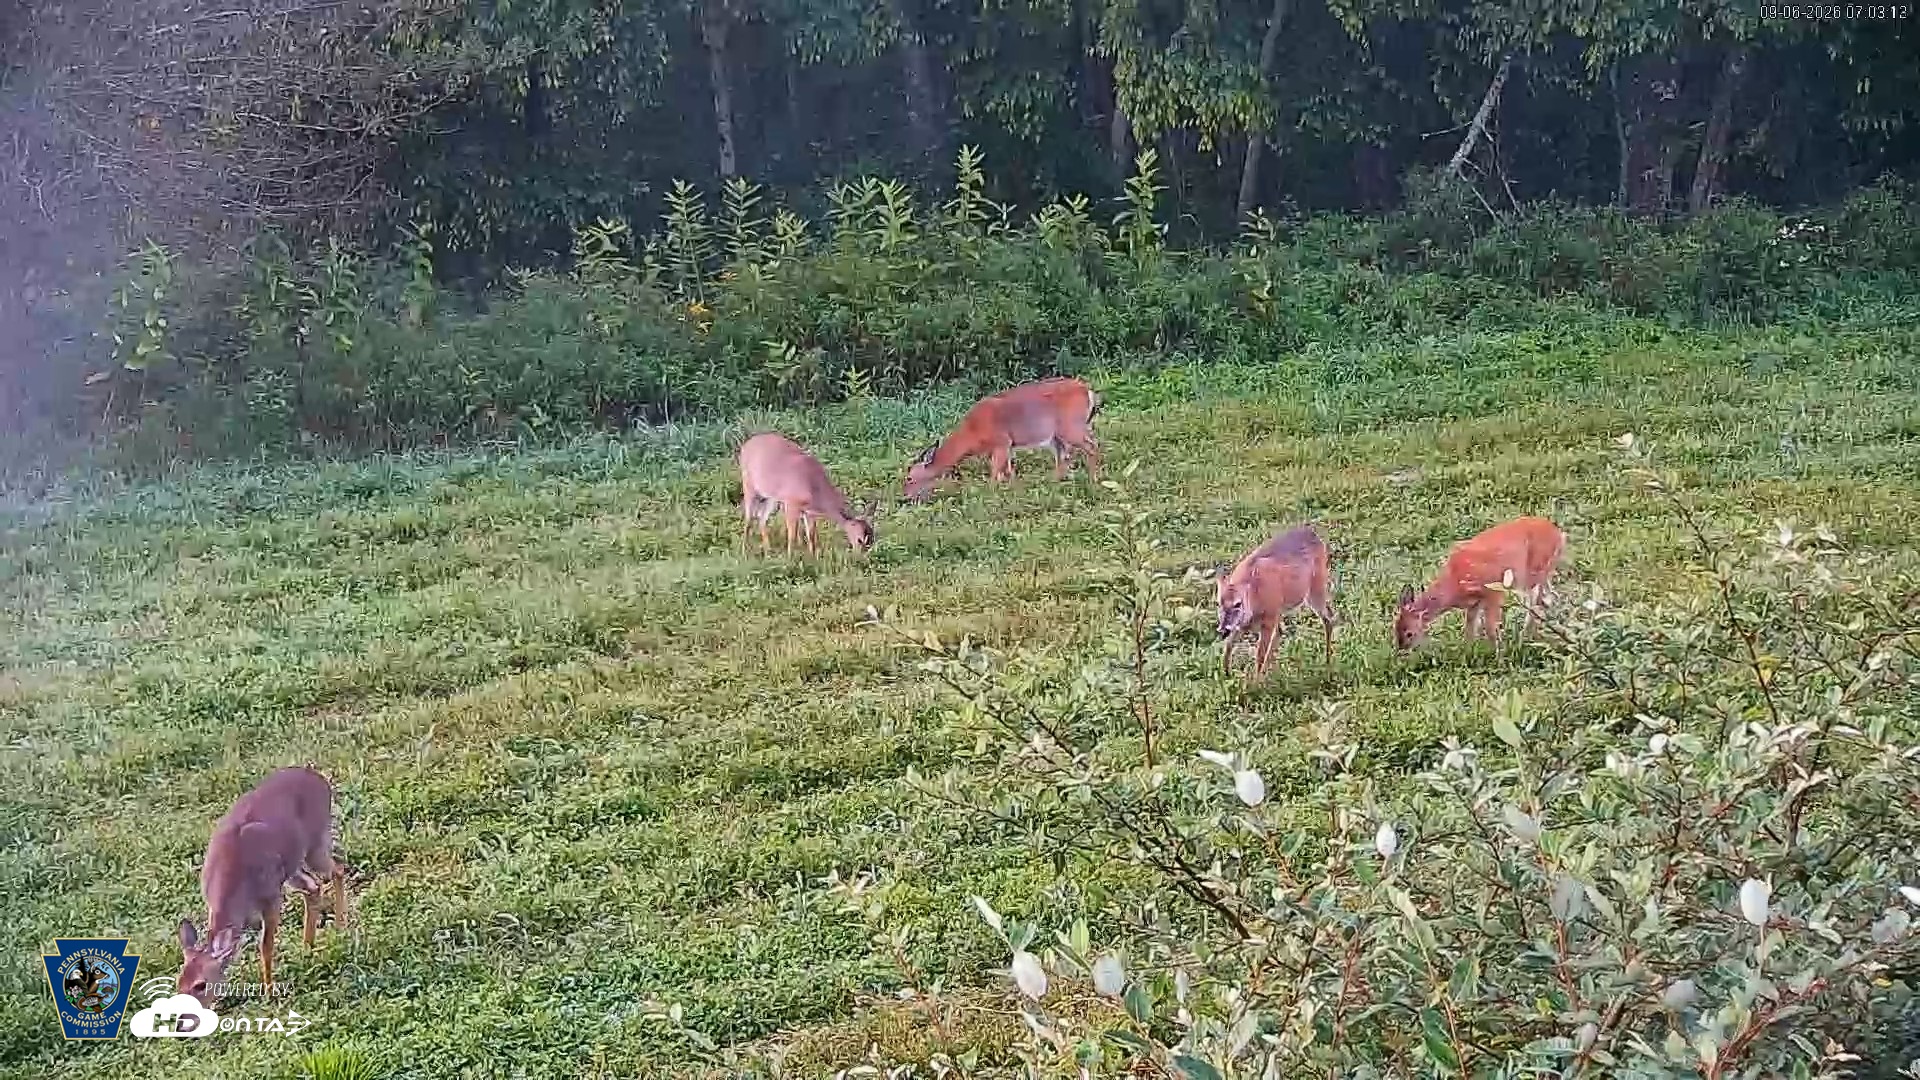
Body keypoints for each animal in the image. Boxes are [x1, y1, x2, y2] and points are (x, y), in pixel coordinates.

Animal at [178, 765, 348, 1006]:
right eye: (179, 983)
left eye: (200, 984)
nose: (183, 1015)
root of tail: (318, 778)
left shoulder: (272, 898)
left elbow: (265, 945)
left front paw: (269, 993)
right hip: (292, 867)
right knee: (314, 887)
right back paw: (307, 949)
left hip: (315, 844)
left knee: (338, 870)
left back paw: (340, 928)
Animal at [739, 432, 876, 557]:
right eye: (860, 540)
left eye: (872, 540)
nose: (860, 557)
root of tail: (746, 445)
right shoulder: (791, 504)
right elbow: (792, 535)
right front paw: (790, 559)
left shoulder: (809, 512)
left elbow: (811, 535)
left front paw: (812, 557)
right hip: (748, 484)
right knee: (749, 517)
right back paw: (745, 550)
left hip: (771, 497)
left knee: (761, 518)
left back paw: (768, 551)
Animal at [903, 377, 1100, 502]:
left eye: (909, 478)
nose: (905, 496)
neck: (972, 433)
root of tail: (1088, 391)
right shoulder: (1008, 446)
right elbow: (1008, 473)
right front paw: (1014, 493)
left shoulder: (1001, 442)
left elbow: (994, 475)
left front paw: (989, 497)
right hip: (1057, 436)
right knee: (1064, 457)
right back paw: (1054, 484)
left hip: (1070, 426)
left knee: (1092, 446)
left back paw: (1093, 481)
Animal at [1216, 525, 1339, 677]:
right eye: (1218, 603)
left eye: (1238, 604)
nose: (1222, 629)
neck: (1254, 596)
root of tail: (1314, 534)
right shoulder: (1244, 624)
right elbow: (1229, 644)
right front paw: (1226, 671)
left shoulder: (1269, 619)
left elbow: (1260, 655)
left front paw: (1254, 681)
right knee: (1281, 633)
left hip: (1316, 588)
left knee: (1328, 618)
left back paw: (1328, 660)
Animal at [1393, 516, 1566, 652]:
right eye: (1395, 628)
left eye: (1409, 633)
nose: (1402, 649)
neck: (1454, 585)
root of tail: (1558, 533)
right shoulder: (1474, 603)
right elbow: (1469, 627)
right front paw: (1467, 651)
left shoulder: (1494, 592)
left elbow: (1490, 628)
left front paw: (1498, 654)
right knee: (1550, 596)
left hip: (1533, 572)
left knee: (1536, 600)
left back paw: (1525, 636)